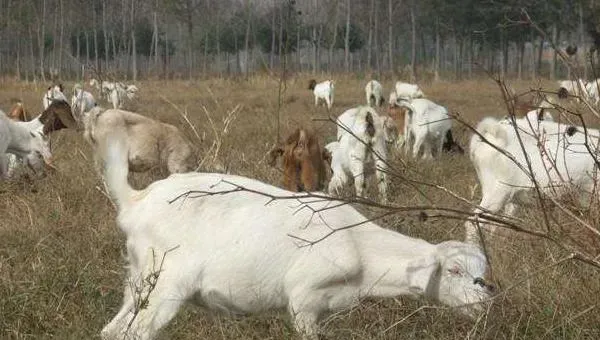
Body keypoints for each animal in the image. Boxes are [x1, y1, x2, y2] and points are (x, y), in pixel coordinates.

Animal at [98, 135, 492, 340]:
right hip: (166, 282)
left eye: (481, 271)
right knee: (136, 333)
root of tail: (134, 201)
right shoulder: (304, 297)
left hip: (139, 281)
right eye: (453, 271)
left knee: (112, 331)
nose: (484, 303)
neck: (361, 249)